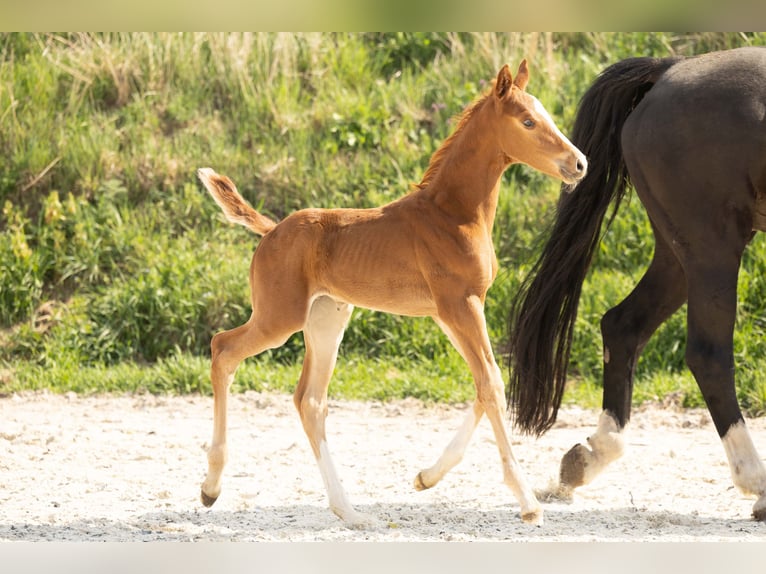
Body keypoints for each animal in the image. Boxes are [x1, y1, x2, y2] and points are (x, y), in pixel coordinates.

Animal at [196, 60, 587, 527]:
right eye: (528, 121)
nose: (579, 163)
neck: (452, 215)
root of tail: (271, 230)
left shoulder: (451, 311)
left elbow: (485, 381)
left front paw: (426, 477)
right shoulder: (460, 305)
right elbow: (491, 383)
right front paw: (527, 503)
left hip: (327, 319)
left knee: (310, 400)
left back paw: (348, 511)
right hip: (280, 317)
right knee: (223, 348)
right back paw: (211, 487)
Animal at [506, 46, 766, 521]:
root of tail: (668, 71)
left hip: (679, 254)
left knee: (623, 325)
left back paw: (589, 457)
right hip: (711, 246)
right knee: (708, 355)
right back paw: (758, 485)